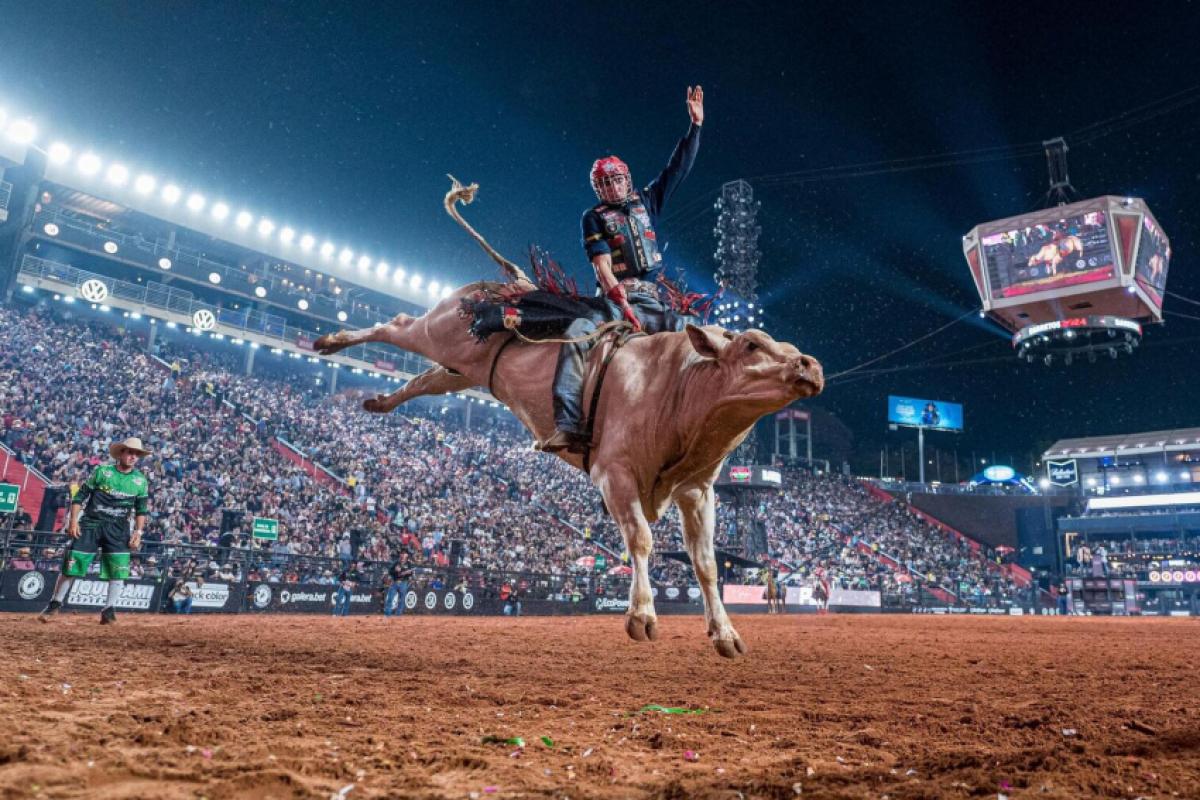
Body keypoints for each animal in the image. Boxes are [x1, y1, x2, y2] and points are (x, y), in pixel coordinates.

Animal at [315, 284, 823, 658]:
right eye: (750, 344)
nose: (811, 365)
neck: (675, 387)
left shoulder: (697, 490)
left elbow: (706, 564)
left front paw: (725, 634)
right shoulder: (613, 474)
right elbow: (641, 539)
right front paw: (642, 616)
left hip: (461, 369)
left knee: (425, 377)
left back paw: (379, 401)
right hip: (438, 332)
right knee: (399, 324)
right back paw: (329, 341)